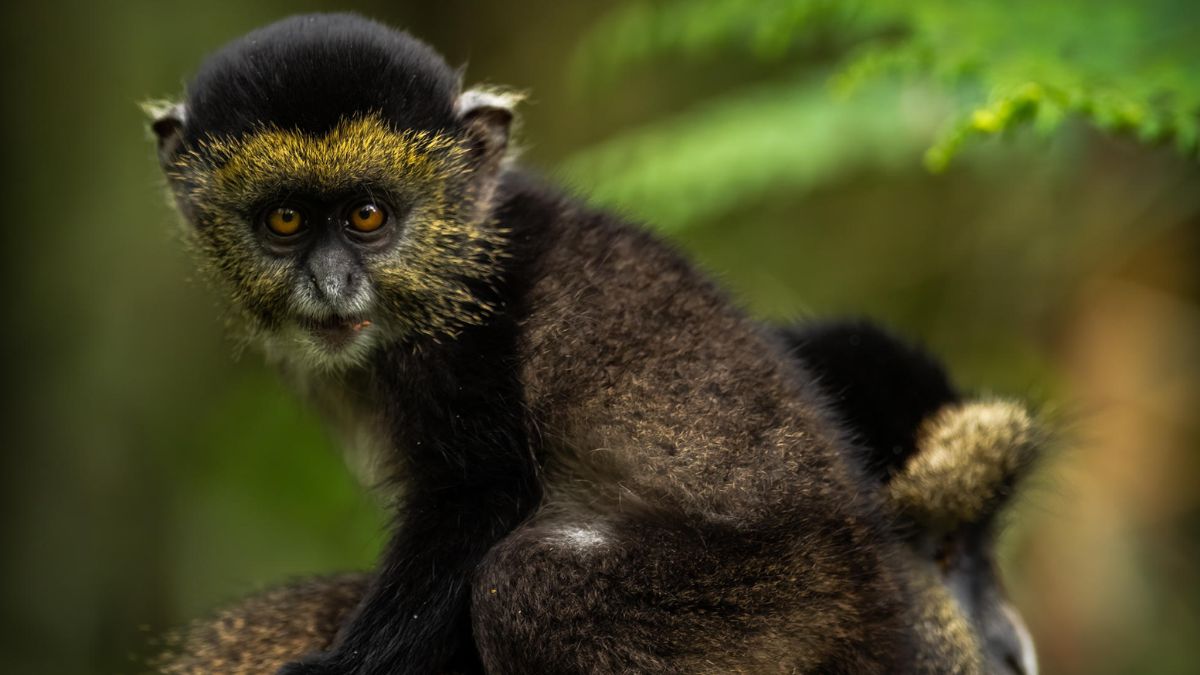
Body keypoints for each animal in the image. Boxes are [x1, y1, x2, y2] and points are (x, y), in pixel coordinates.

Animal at [148, 12, 1041, 674]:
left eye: (368, 216)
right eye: (285, 220)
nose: (331, 283)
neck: (464, 238)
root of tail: (874, 604)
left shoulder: (465, 338)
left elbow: (483, 496)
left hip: (774, 609)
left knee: (525, 586)